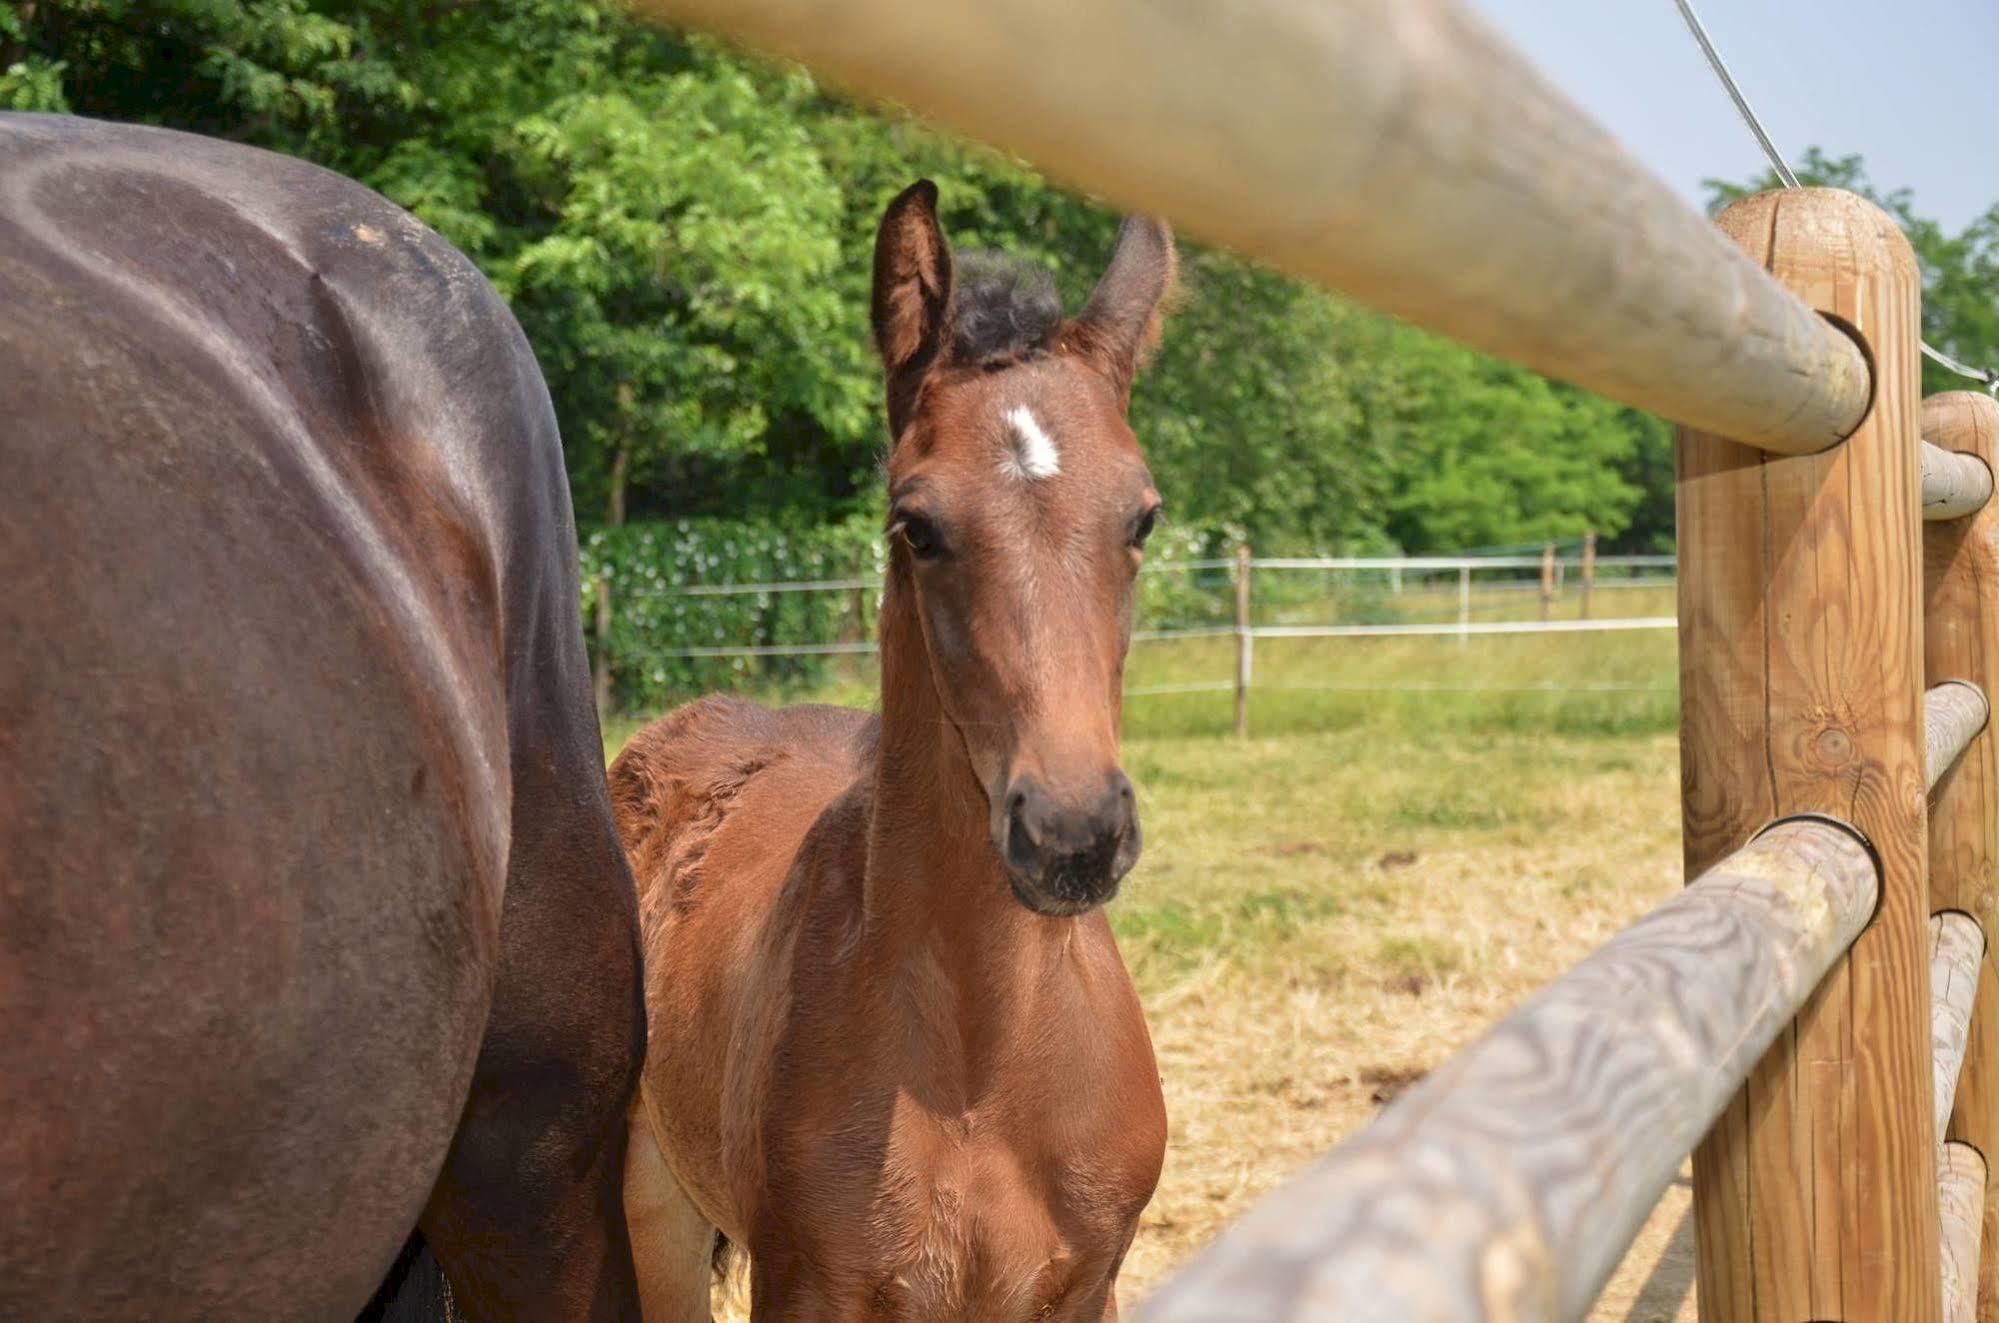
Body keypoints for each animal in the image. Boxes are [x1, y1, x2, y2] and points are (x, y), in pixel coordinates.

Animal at [607, 183, 1167, 1323]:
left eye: (1141, 517)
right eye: (916, 526)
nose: (1072, 834)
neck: (982, 1075)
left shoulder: (1086, 1286)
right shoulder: (808, 1284)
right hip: (655, 1212)